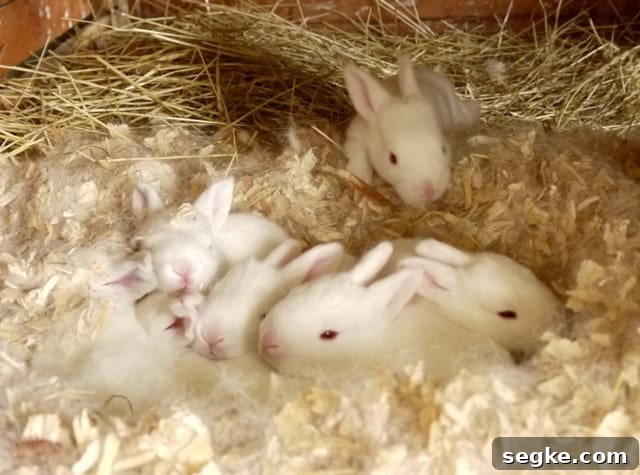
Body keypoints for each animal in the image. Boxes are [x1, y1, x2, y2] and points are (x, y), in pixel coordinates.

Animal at [342, 55, 480, 208]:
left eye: (443, 149)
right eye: (392, 159)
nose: (429, 191)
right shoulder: (355, 135)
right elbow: (357, 155)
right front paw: (360, 180)